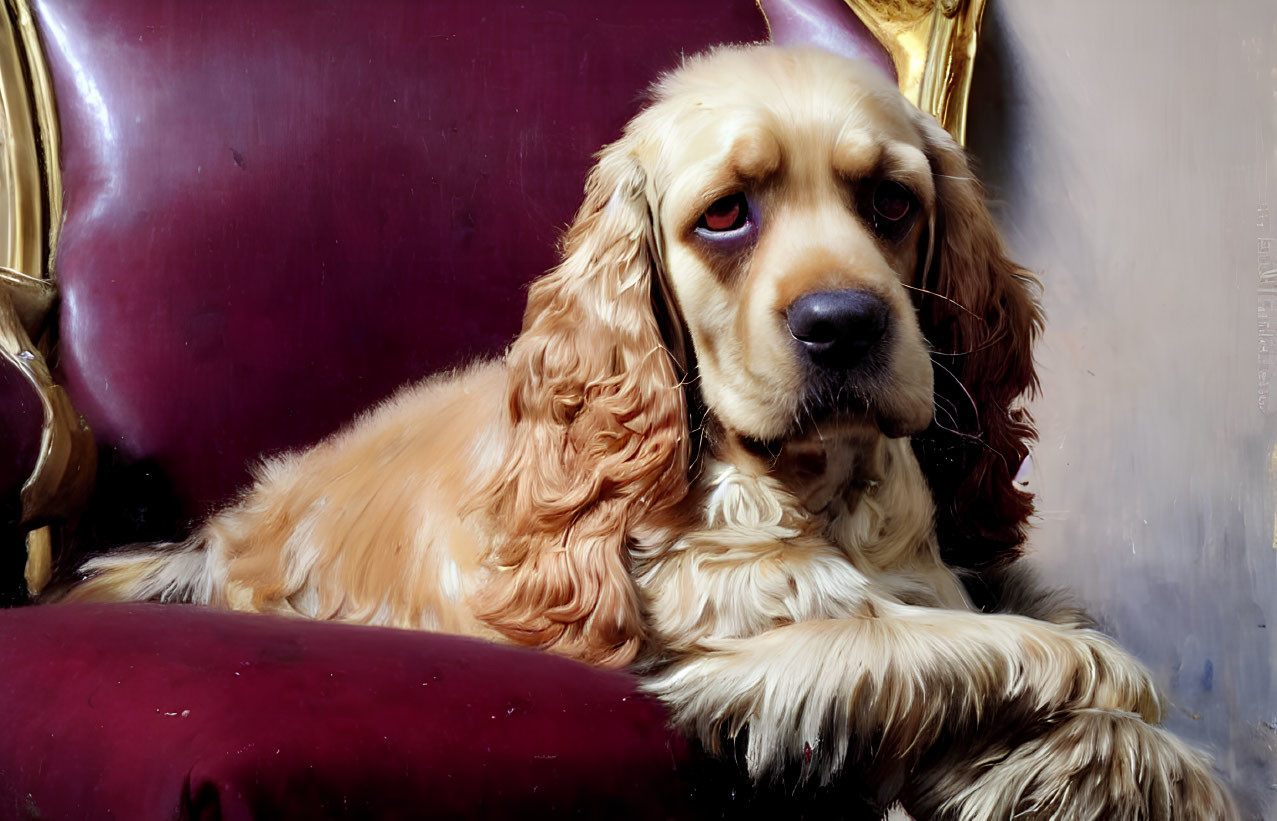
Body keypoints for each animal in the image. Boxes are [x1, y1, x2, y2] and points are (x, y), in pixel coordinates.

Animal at [62, 46, 1236, 821]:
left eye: (890, 201)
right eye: (725, 213)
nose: (844, 324)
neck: (816, 486)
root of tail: (218, 533)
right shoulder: (731, 648)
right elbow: (994, 648)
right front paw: (1102, 708)